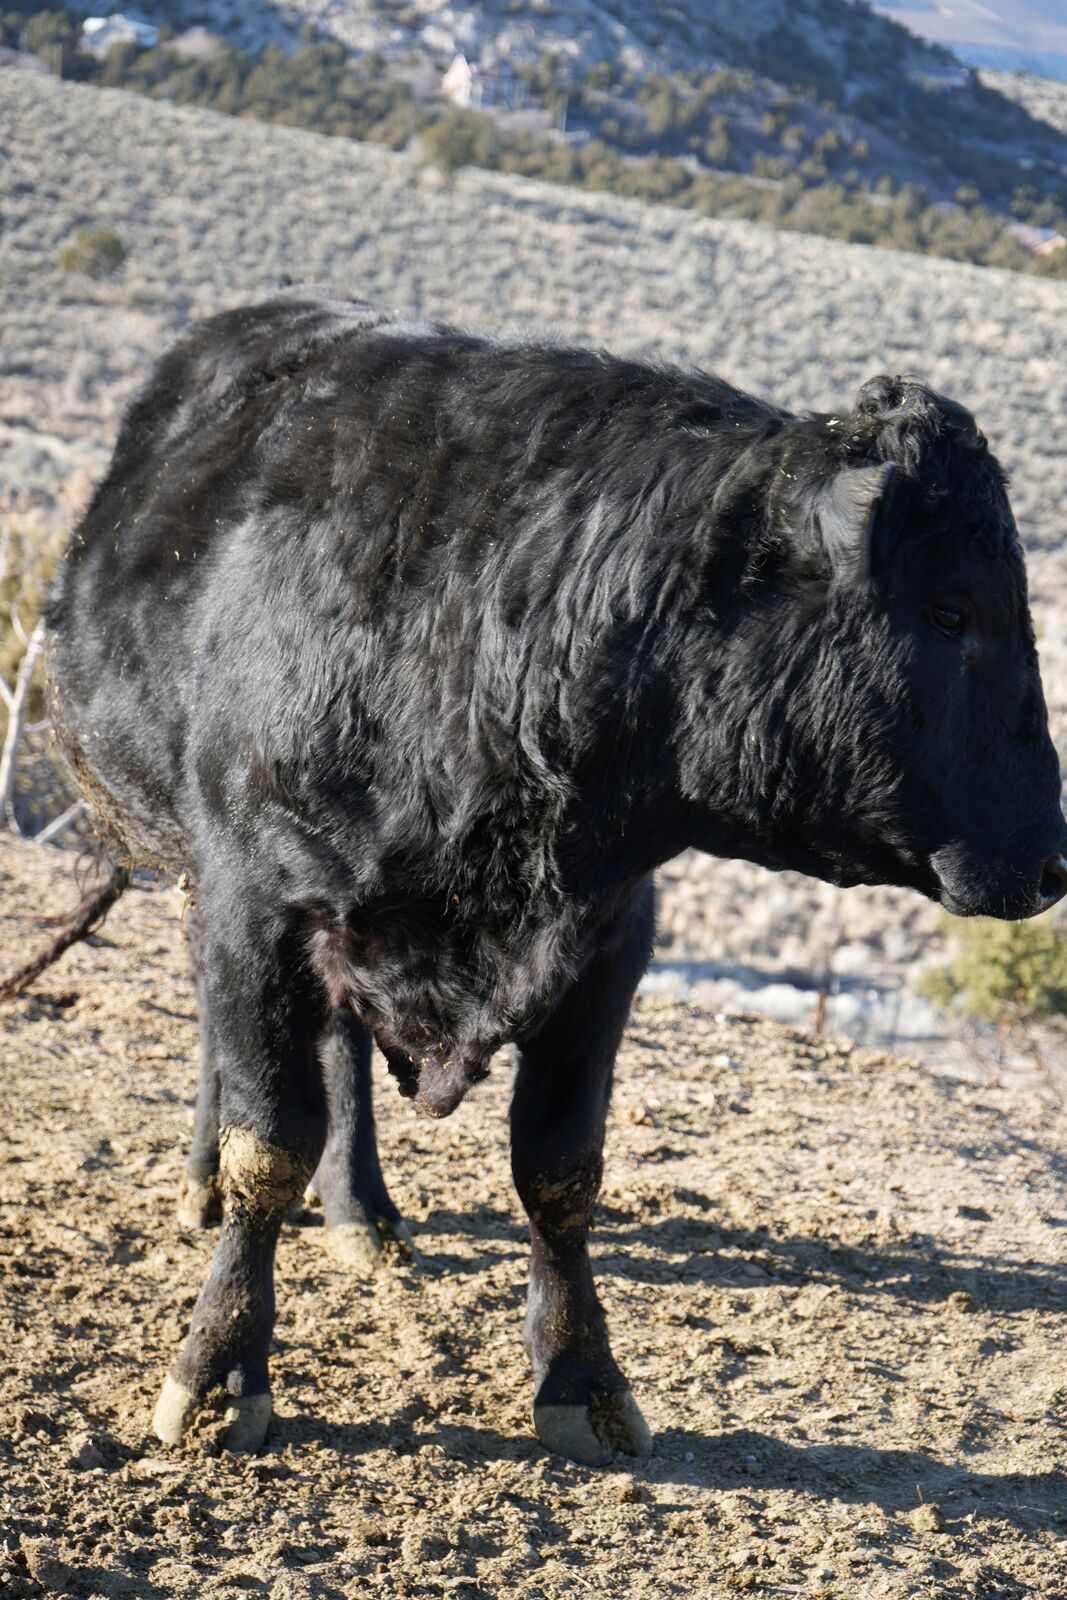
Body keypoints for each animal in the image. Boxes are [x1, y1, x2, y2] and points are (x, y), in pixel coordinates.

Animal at [40, 285, 1065, 1466]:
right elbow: (270, 1142)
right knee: (239, 1056)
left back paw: (361, 1215)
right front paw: (216, 1371)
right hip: (201, 878)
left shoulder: (606, 944)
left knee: (342, 1055)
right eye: (949, 609)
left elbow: (560, 1168)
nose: (1050, 857)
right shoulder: (257, 906)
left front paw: (585, 1378)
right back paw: (206, 1184)